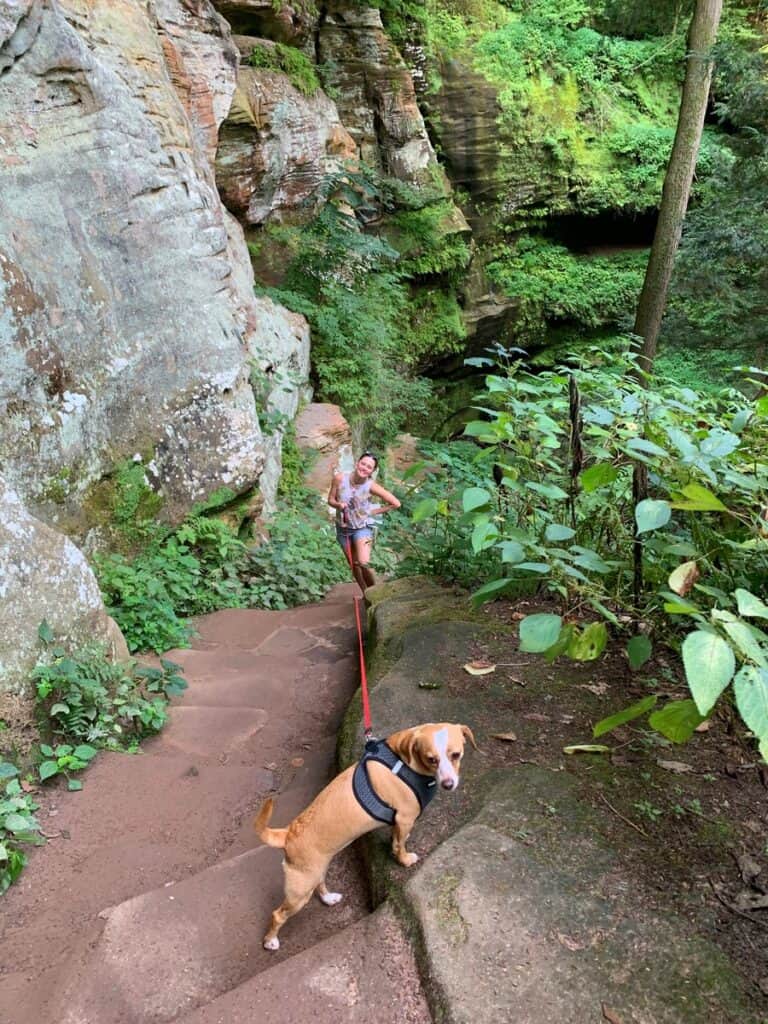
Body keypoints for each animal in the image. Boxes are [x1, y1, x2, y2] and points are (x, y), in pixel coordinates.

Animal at [256, 720, 479, 950]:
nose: (448, 784)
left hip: (315, 873)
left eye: (456, 755)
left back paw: (329, 898)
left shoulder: (399, 823)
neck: (403, 760)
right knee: (278, 915)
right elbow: (399, 846)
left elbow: (397, 838)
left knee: (320, 885)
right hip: (299, 893)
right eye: (431, 759)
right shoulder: (404, 818)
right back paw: (270, 941)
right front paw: (405, 859)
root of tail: (288, 833)